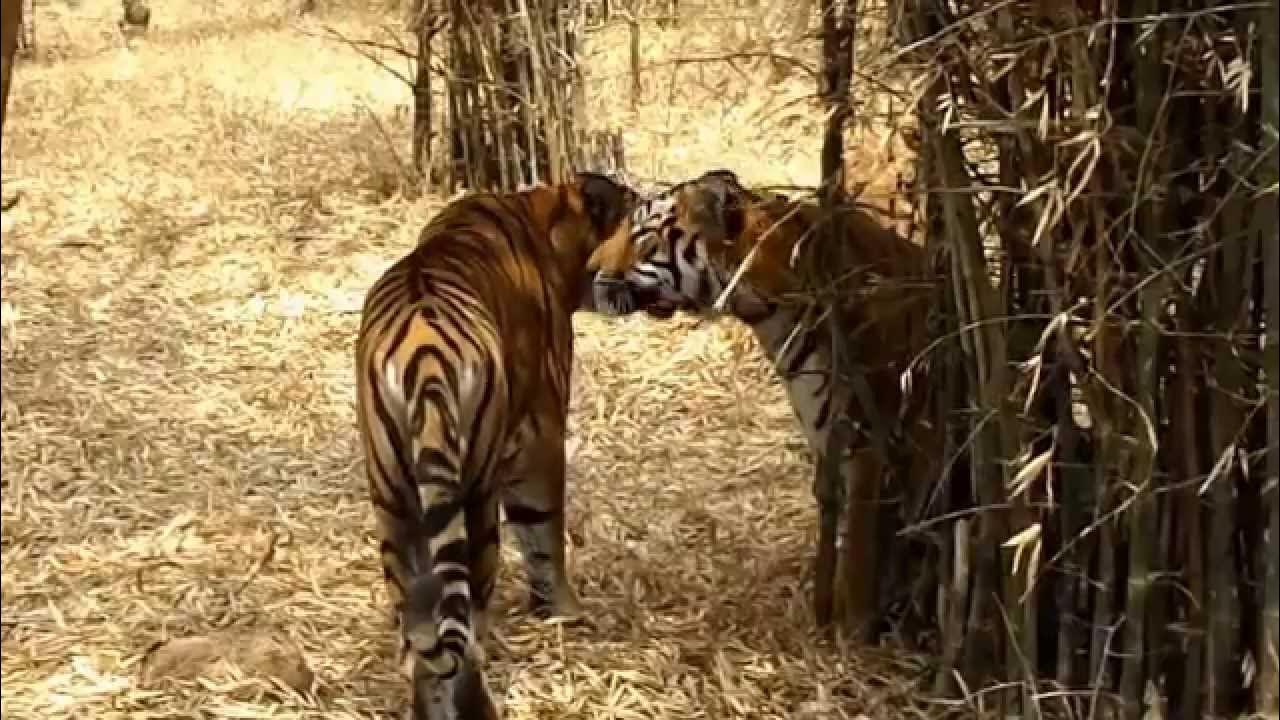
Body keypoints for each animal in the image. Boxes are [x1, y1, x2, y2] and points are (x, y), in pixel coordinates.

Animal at [355, 172, 638, 720]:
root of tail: (423, 363)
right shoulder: (541, 431)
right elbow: (543, 531)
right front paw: (564, 612)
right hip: (476, 495)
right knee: (469, 618)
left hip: (392, 499)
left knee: (420, 629)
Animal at [587, 168, 938, 635]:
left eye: (643, 238)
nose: (589, 270)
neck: (767, 310)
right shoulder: (824, 433)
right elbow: (831, 517)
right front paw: (823, 612)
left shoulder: (869, 436)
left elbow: (859, 549)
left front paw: (852, 633)